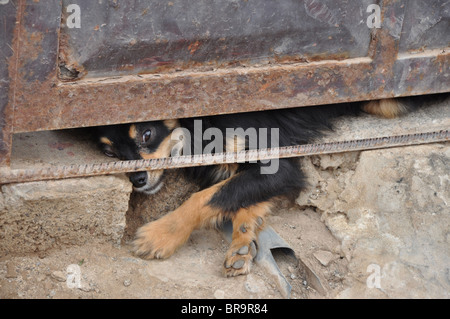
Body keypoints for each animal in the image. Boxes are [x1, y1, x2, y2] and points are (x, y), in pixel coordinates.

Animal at [96, 98, 406, 278]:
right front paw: (243, 244)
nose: (136, 180)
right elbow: (240, 196)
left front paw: (161, 234)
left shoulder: (277, 166)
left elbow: (208, 197)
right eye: (109, 153)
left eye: (147, 134)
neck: (200, 124)